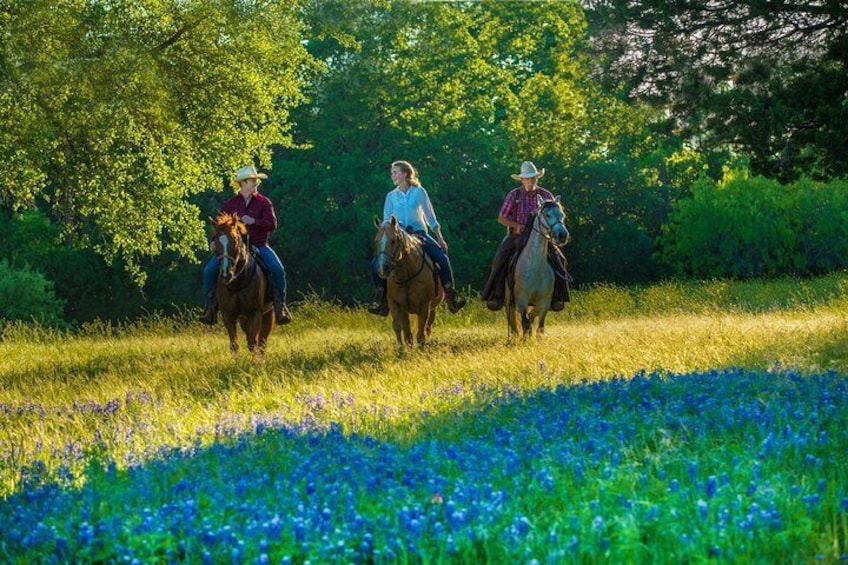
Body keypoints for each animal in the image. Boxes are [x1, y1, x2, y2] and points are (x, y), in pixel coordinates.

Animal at [210, 213, 274, 352]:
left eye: (234, 242)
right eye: (215, 242)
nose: (226, 274)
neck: (237, 283)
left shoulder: (255, 313)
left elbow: (252, 342)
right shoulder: (228, 314)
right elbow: (234, 344)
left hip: (268, 313)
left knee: (262, 341)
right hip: (243, 318)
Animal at [374, 216, 448, 346]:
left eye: (393, 240)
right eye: (376, 241)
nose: (382, 268)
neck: (407, 276)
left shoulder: (425, 306)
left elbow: (420, 333)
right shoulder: (395, 304)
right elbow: (399, 328)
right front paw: (401, 349)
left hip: (433, 307)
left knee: (428, 326)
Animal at [504, 195, 568, 334]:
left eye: (562, 215)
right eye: (547, 214)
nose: (563, 235)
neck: (535, 268)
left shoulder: (544, 302)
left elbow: (538, 327)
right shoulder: (521, 301)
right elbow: (525, 324)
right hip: (508, 300)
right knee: (512, 322)